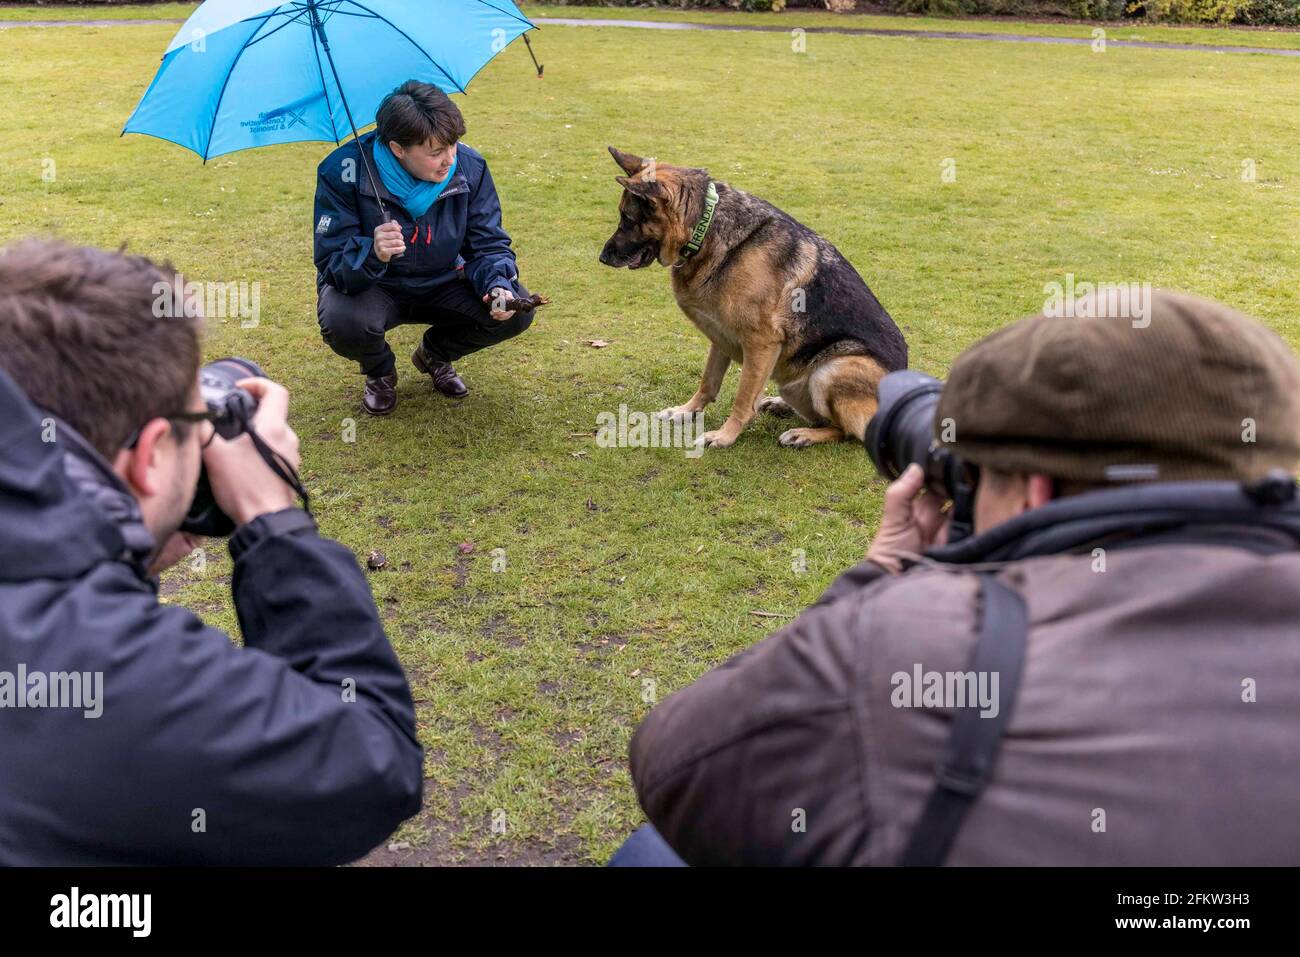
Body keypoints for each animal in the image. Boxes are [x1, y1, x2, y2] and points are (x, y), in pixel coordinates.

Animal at [595, 146, 904, 452]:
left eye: (627, 219)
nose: (602, 257)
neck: (705, 227)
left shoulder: (761, 343)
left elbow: (743, 400)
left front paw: (724, 436)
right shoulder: (720, 335)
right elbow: (708, 382)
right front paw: (686, 411)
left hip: (834, 369)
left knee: (846, 430)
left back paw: (804, 434)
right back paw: (781, 405)